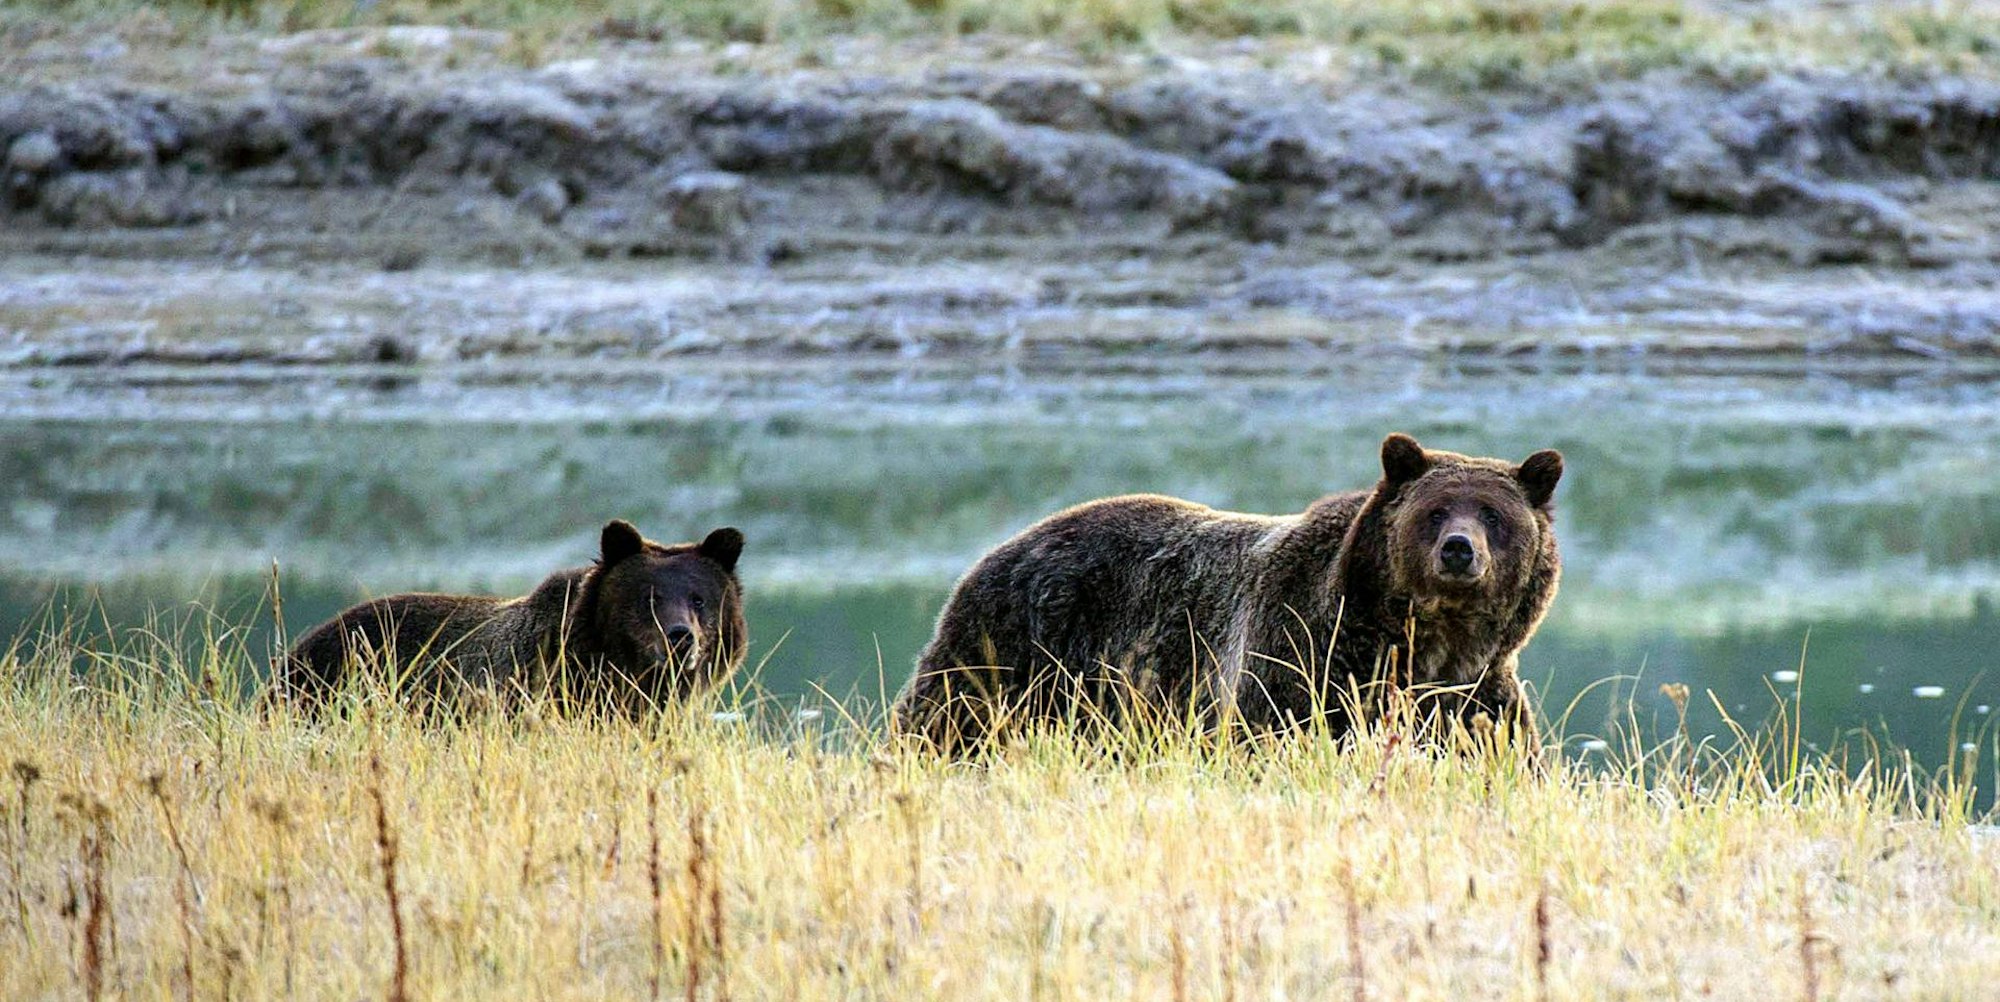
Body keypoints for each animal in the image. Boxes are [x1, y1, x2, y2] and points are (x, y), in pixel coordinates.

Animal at [892, 433, 1562, 754]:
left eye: (1494, 514)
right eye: (1435, 510)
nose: (1459, 549)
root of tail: (997, 549)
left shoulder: (1473, 695)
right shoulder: (1301, 659)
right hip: (1013, 650)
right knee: (946, 721)